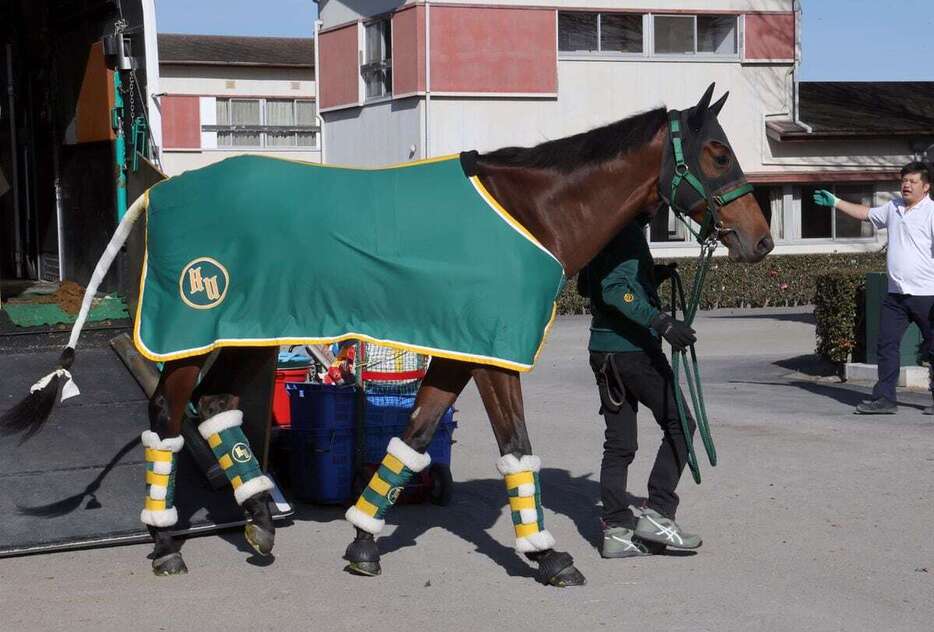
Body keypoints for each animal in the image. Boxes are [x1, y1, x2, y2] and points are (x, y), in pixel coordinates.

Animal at [1, 82, 776, 584]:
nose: (761, 240)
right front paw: (546, 552)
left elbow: (414, 436)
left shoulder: (461, 352)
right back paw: (165, 541)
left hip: (248, 331)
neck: (530, 211)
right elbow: (516, 448)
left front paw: (364, 542)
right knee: (166, 413)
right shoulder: (495, 356)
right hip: (199, 326)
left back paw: (259, 517)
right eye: (716, 153)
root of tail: (161, 189)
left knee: (215, 407)